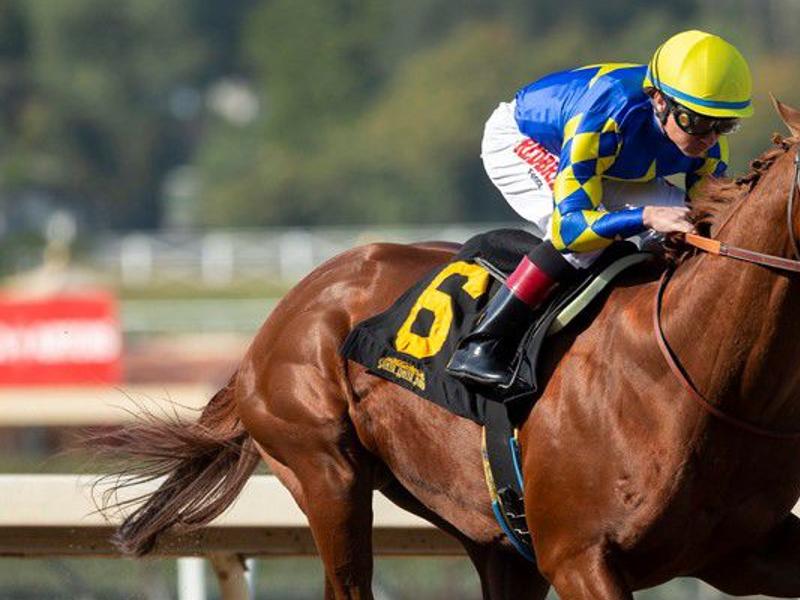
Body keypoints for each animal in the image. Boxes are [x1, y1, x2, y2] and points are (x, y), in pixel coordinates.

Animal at [98, 99, 800, 599]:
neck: (697, 374)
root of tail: (285, 311)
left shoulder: (741, 550)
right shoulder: (580, 557)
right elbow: (574, 215)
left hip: (490, 535)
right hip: (325, 471)